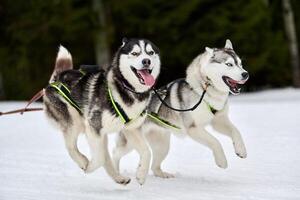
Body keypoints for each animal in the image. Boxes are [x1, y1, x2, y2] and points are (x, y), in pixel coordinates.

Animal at [43, 37, 161, 184]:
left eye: (150, 53)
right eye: (135, 53)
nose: (146, 61)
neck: (126, 89)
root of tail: (57, 78)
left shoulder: (131, 129)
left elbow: (147, 151)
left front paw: (141, 174)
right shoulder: (93, 126)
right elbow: (99, 158)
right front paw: (88, 167)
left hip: (99, 135)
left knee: (105, 156)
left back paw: (119, 178)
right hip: (74, 122)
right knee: (72, 147)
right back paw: (83, 161)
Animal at [112, 39, 248, 178]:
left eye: (240, 64)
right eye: (229, 64)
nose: (245, 74)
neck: (205, 89)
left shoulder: (219, 121)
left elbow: (236, 131)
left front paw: (241, 150)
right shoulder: (193, 128)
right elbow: (215, 141)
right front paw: (222, 161)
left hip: (162, 146)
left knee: (154, 166)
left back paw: (162, 174)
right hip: (130, 143)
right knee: (115, 153)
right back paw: (116, 173)